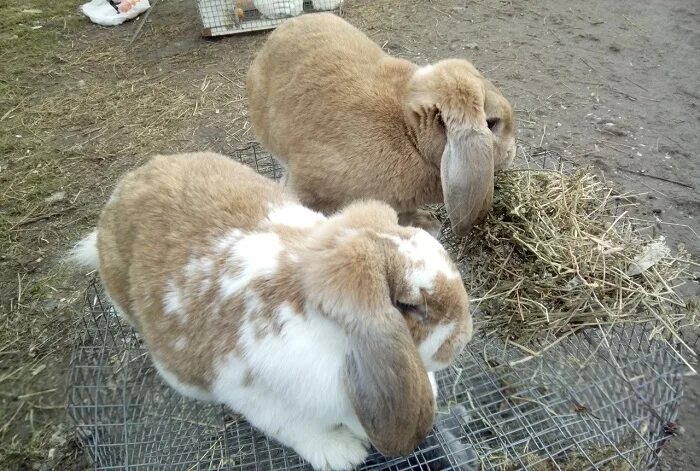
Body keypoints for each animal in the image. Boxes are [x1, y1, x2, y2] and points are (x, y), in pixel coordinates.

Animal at [68, 153, 474, 470]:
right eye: (410, 306)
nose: (464, 337)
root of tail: (121, 193)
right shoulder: (249, 392)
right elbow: (297, 428)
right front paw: (342, 453)